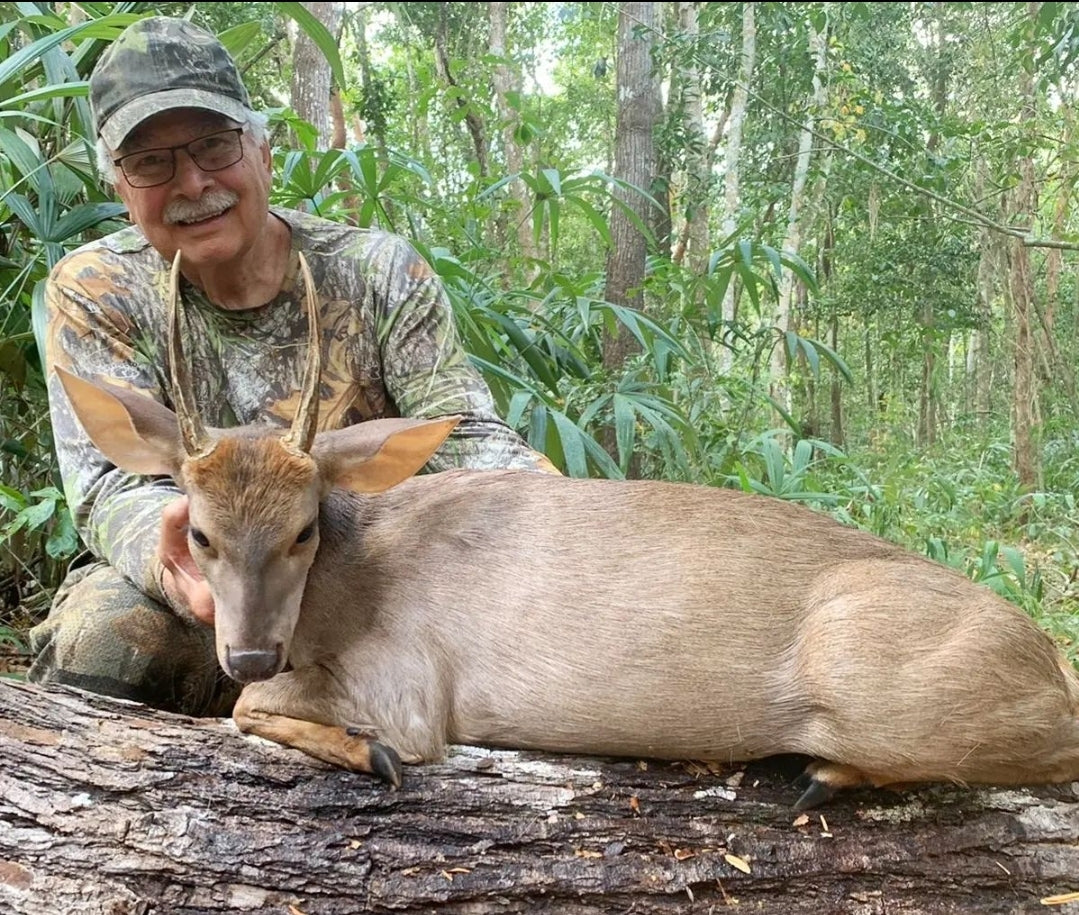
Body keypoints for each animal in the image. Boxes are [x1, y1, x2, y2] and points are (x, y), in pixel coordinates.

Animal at [54, 250, 1079, 811]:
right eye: (200, 535)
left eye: (305, 530)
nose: (248, 649)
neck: (339, 593)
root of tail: (1045, 657)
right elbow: (245, 706)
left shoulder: (409, 682)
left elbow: (262, 715)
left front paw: (365, 751)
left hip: (884, 679)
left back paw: (824, 771)